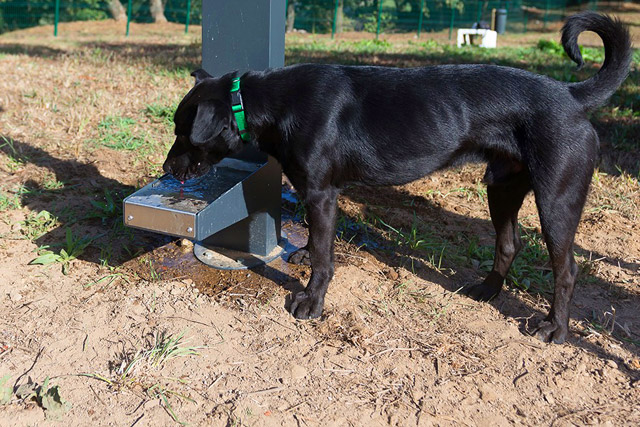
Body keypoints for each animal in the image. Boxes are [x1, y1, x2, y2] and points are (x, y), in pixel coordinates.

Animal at [162, 13, 632, 344]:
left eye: (183, 132)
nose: (167, 169)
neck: (264, 101)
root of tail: (570, 95)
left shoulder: (322, 194)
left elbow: (324, 259)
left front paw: (311, 301)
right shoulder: (314, 195)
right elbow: (314, 239)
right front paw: (304, 257)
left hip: (556, 200)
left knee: (567, 268)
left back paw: (555, 330)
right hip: (501, 187)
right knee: (509, 242)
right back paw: (487, 290)